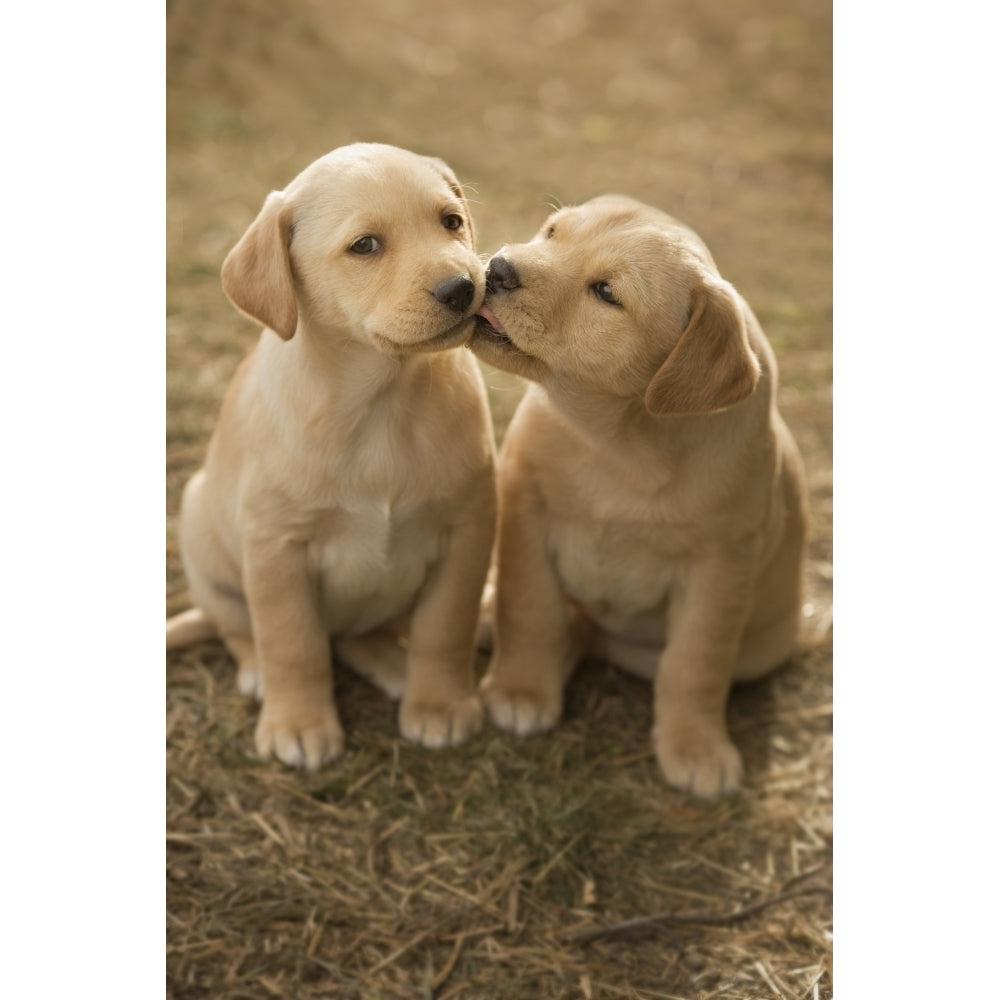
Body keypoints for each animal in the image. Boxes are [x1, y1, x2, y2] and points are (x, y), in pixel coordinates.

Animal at [166, 141, 498, 768]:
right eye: (365, 246)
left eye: (451, 222)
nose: (465, 287)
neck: (381, 400)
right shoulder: (277, 548)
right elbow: (292, 642)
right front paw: (298, 723)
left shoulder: (467, 532)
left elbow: (445, 629)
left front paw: (440, 703)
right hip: (204, 536)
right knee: (241, 630)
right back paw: (261, 675)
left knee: (357, 637)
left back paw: (398, 663)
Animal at [472, 195, 808, 796]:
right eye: (552, 233)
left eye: (607, 293)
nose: (500, 268)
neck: (620, 441)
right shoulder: (527, 514)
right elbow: (530, 608)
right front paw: (521, 689)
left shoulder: (721, 567)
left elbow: (695, 664)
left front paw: (696, 747)